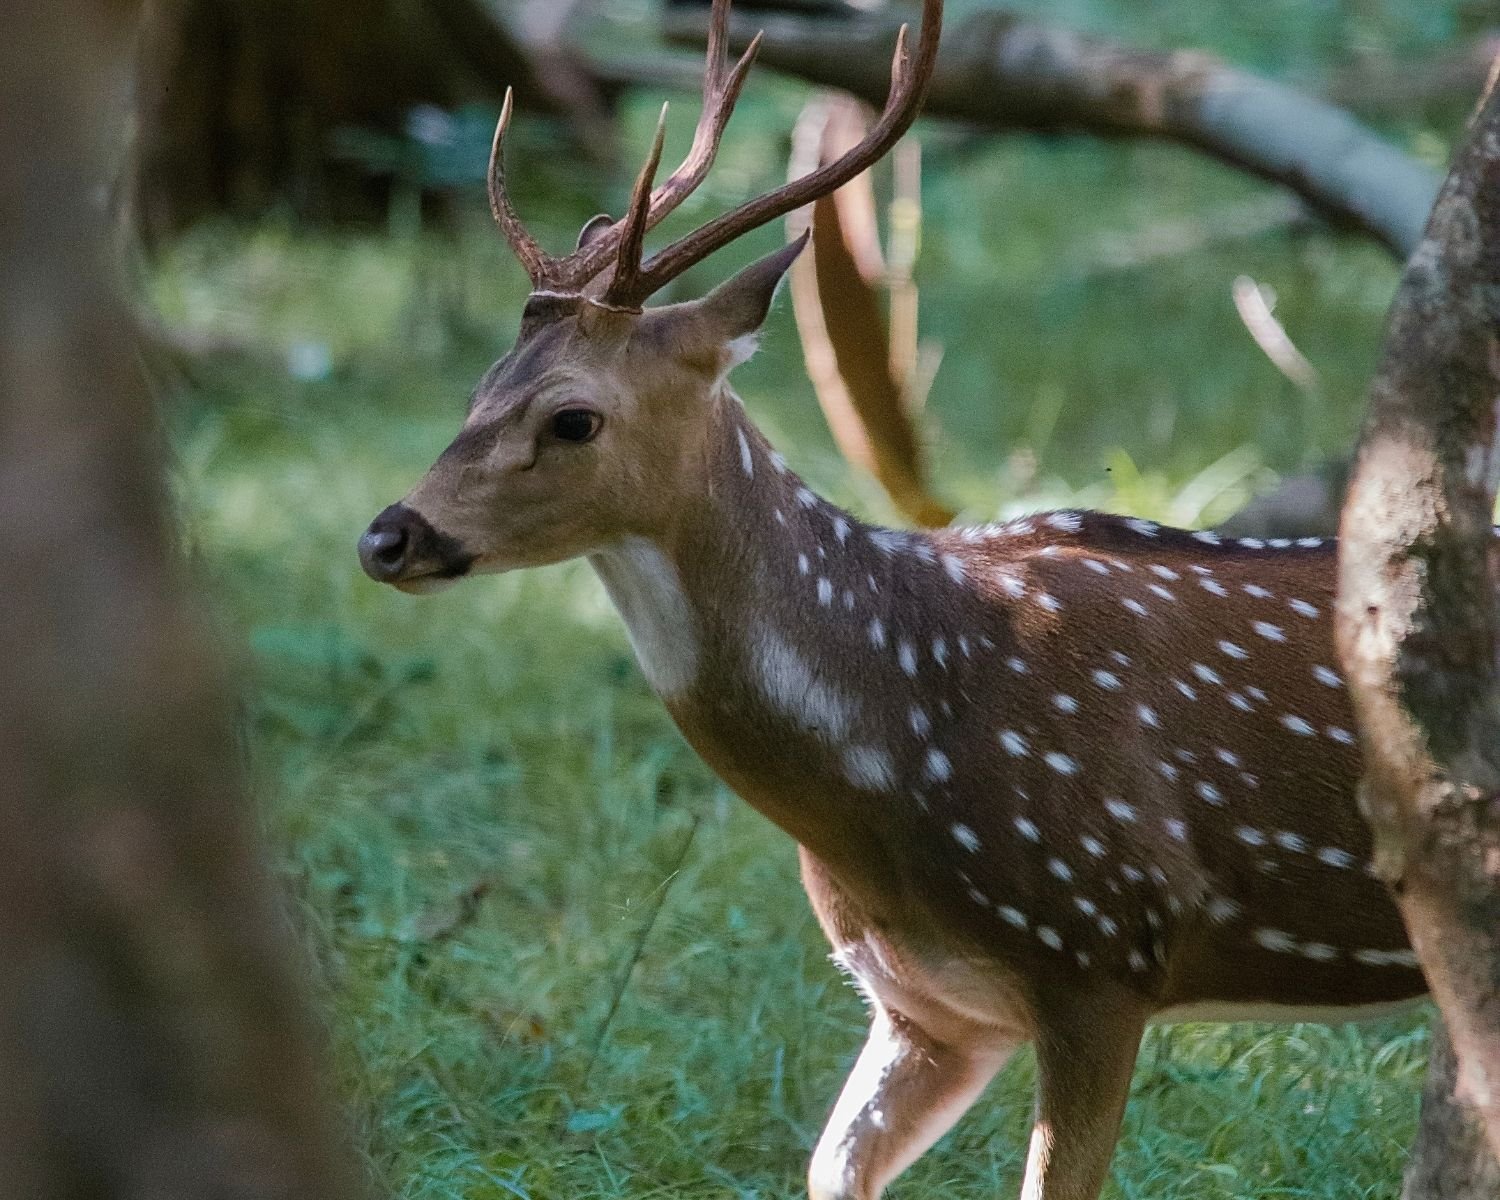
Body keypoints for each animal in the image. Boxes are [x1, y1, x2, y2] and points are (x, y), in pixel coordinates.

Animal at [356, 1, 1428, 1195]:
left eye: (572, 417)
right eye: (479, 389)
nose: (389, 535)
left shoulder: (1104, 944)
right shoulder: (930, 1010)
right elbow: (833, 1168)